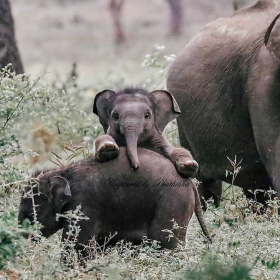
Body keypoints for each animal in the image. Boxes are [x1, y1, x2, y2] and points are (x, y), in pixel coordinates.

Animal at [18, 149, 211, 262]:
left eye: (28, 214)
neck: (63, 171)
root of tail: (190, 183)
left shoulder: (83, 205)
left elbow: (77, 245)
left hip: (173, 204)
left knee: (164, 244)